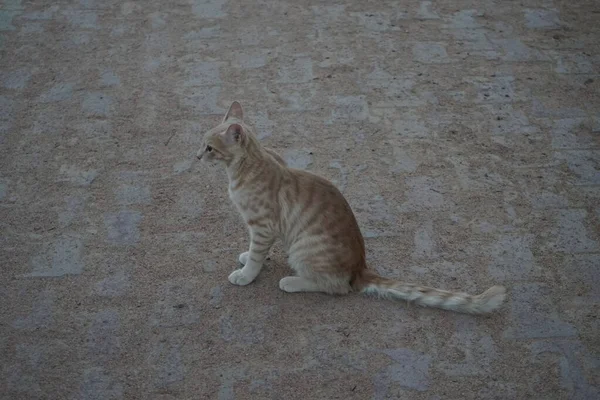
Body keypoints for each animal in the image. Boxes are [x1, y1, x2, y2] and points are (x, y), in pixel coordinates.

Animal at [198, 101, 506, 314]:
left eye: (209, 148)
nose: (197, 155)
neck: (246, 166)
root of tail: (360, 268)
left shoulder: (263, 227)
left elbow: (256, 256)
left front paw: (246, 274)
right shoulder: (260, 229)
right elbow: (252, 251)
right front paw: (245, 258)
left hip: (302, 249)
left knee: (337, 287)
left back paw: (293, 281)